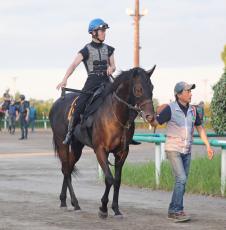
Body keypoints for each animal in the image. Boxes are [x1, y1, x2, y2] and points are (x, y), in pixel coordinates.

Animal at [49, 66, 155, 217]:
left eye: (152, 87)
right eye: (139, 89)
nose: (150, 116)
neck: (116, 114)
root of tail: (56, 104)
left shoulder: (122, 152)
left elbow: (117, 180)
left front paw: (116, 209)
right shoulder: (100, 150)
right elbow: (109, 179)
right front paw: (103, 208)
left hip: (77, 147)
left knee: (68, 168)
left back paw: (65, 201)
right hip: (62, 143)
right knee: (66, 170)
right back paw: (75, 202)